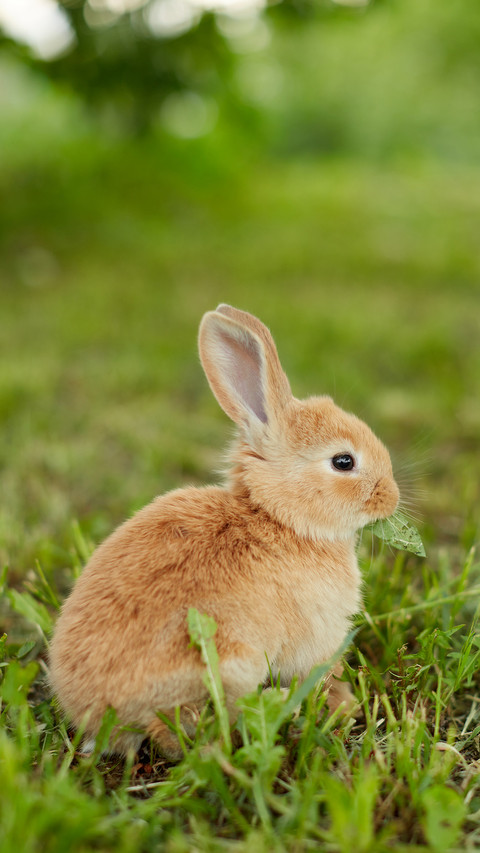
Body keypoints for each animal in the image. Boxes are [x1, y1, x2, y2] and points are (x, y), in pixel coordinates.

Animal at [49, 304, 399, 759]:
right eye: (343, 461)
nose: (391, 498)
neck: (276, 515)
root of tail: (95, 714)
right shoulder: (316, 638)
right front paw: (347, 706)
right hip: (227, 665)